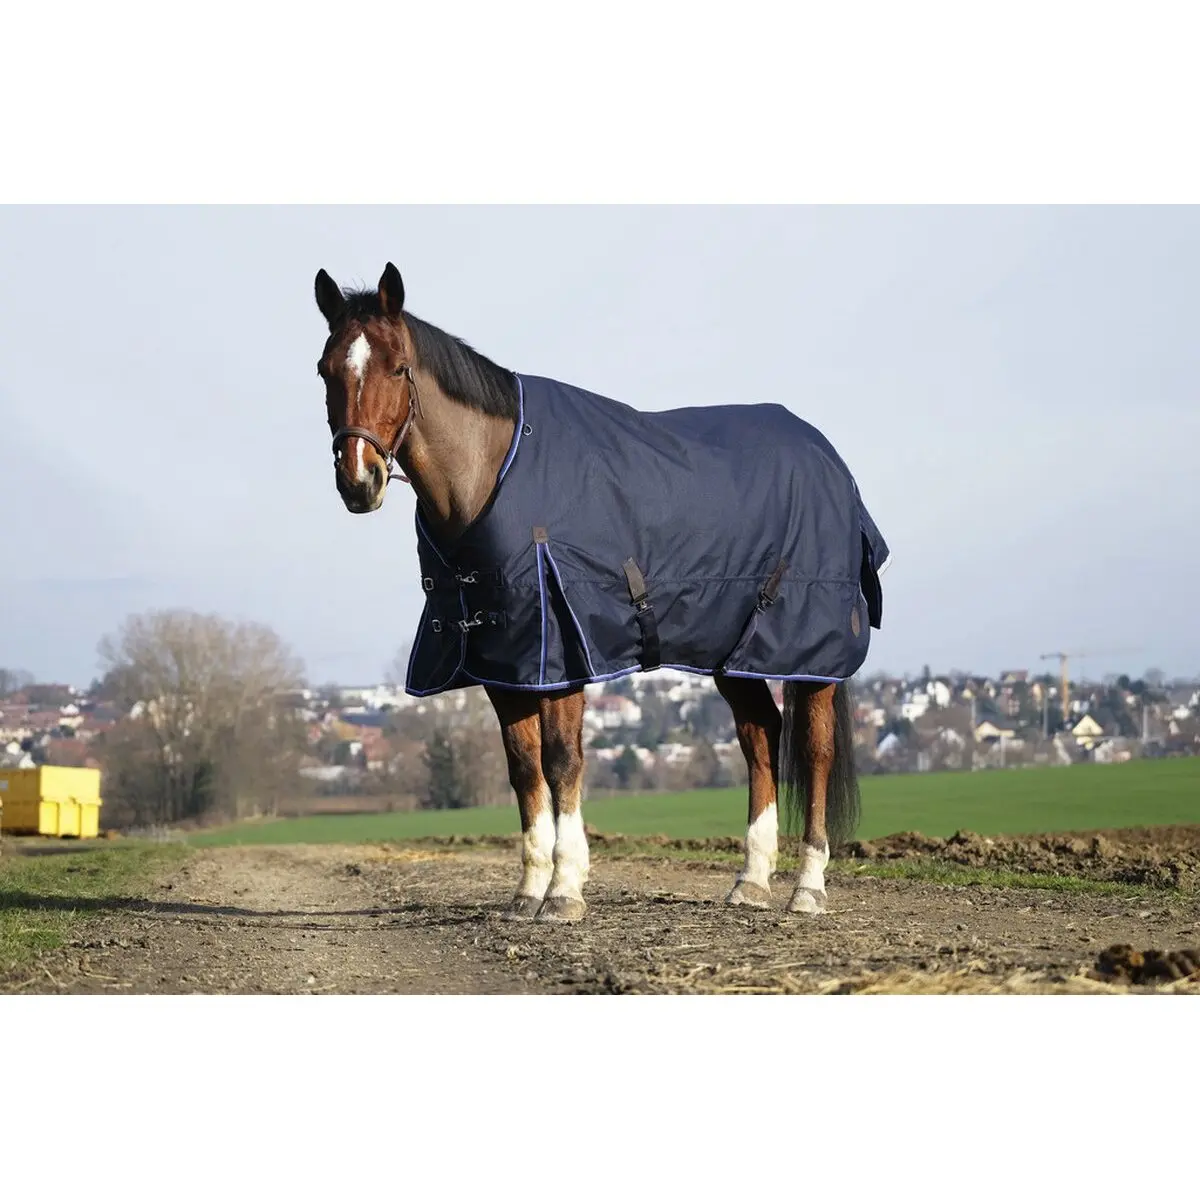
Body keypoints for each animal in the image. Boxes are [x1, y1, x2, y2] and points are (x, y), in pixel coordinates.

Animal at [313, 263, 889, 923]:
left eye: (398, 367)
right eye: (326, 369)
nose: (359, 481)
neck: (495, 471)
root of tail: (830, 460)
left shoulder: (562, 651)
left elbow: (563, 760)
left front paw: (565, 890)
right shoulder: (505, 661)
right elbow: (523, 769)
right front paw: (528, 891)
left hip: (806, 652)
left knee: (814, 751)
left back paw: (807, 887)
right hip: (735, 654)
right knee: (761, 740)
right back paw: (751, 880)